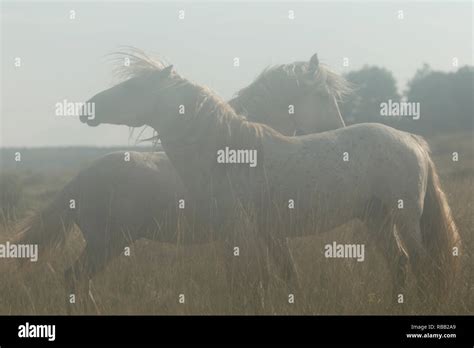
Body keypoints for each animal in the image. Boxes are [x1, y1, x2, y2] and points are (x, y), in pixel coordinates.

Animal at [14, 49, 350, 312]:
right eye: (322, 95)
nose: (339, 131)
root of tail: (80, 180)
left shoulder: (269, 233)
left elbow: (286, 274)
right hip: (106, 242)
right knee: (75, 278)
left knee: (76, 281)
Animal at [79, 58, 462, 308]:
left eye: (133, 86)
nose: (87, 109)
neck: (228, 153)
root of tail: (412, 140)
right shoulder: (256, 233)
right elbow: (266, 278)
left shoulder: (243, 232)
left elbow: (252, 283)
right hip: (376, 218)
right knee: (400, 262)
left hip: (403, 216)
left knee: (422, 263)